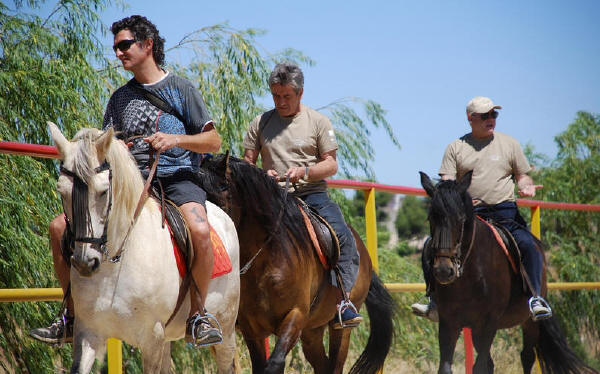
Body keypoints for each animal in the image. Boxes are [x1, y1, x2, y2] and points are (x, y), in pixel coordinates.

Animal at [48, 123, 239, 374]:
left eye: (103, 191)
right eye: (61, 191)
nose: (84, 263)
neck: (116, 264)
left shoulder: (152, 338)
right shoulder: (87, 333)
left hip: (226, 329)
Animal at [198, 153, 398, 372]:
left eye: (219, 201)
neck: (266, 258)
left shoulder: (296, 316)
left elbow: (275, 363)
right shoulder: (252, 329)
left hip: (340, 328)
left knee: (335, 362)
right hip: (312, 330)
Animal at [420, 172, 596, 374]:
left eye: (461, 219)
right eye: (431, 218)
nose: (443, 270)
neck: (471, 275)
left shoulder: (489, 322)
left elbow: (480, 365)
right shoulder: (449, 322)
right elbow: (448, 366)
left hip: (529, 322)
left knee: (527, 356)